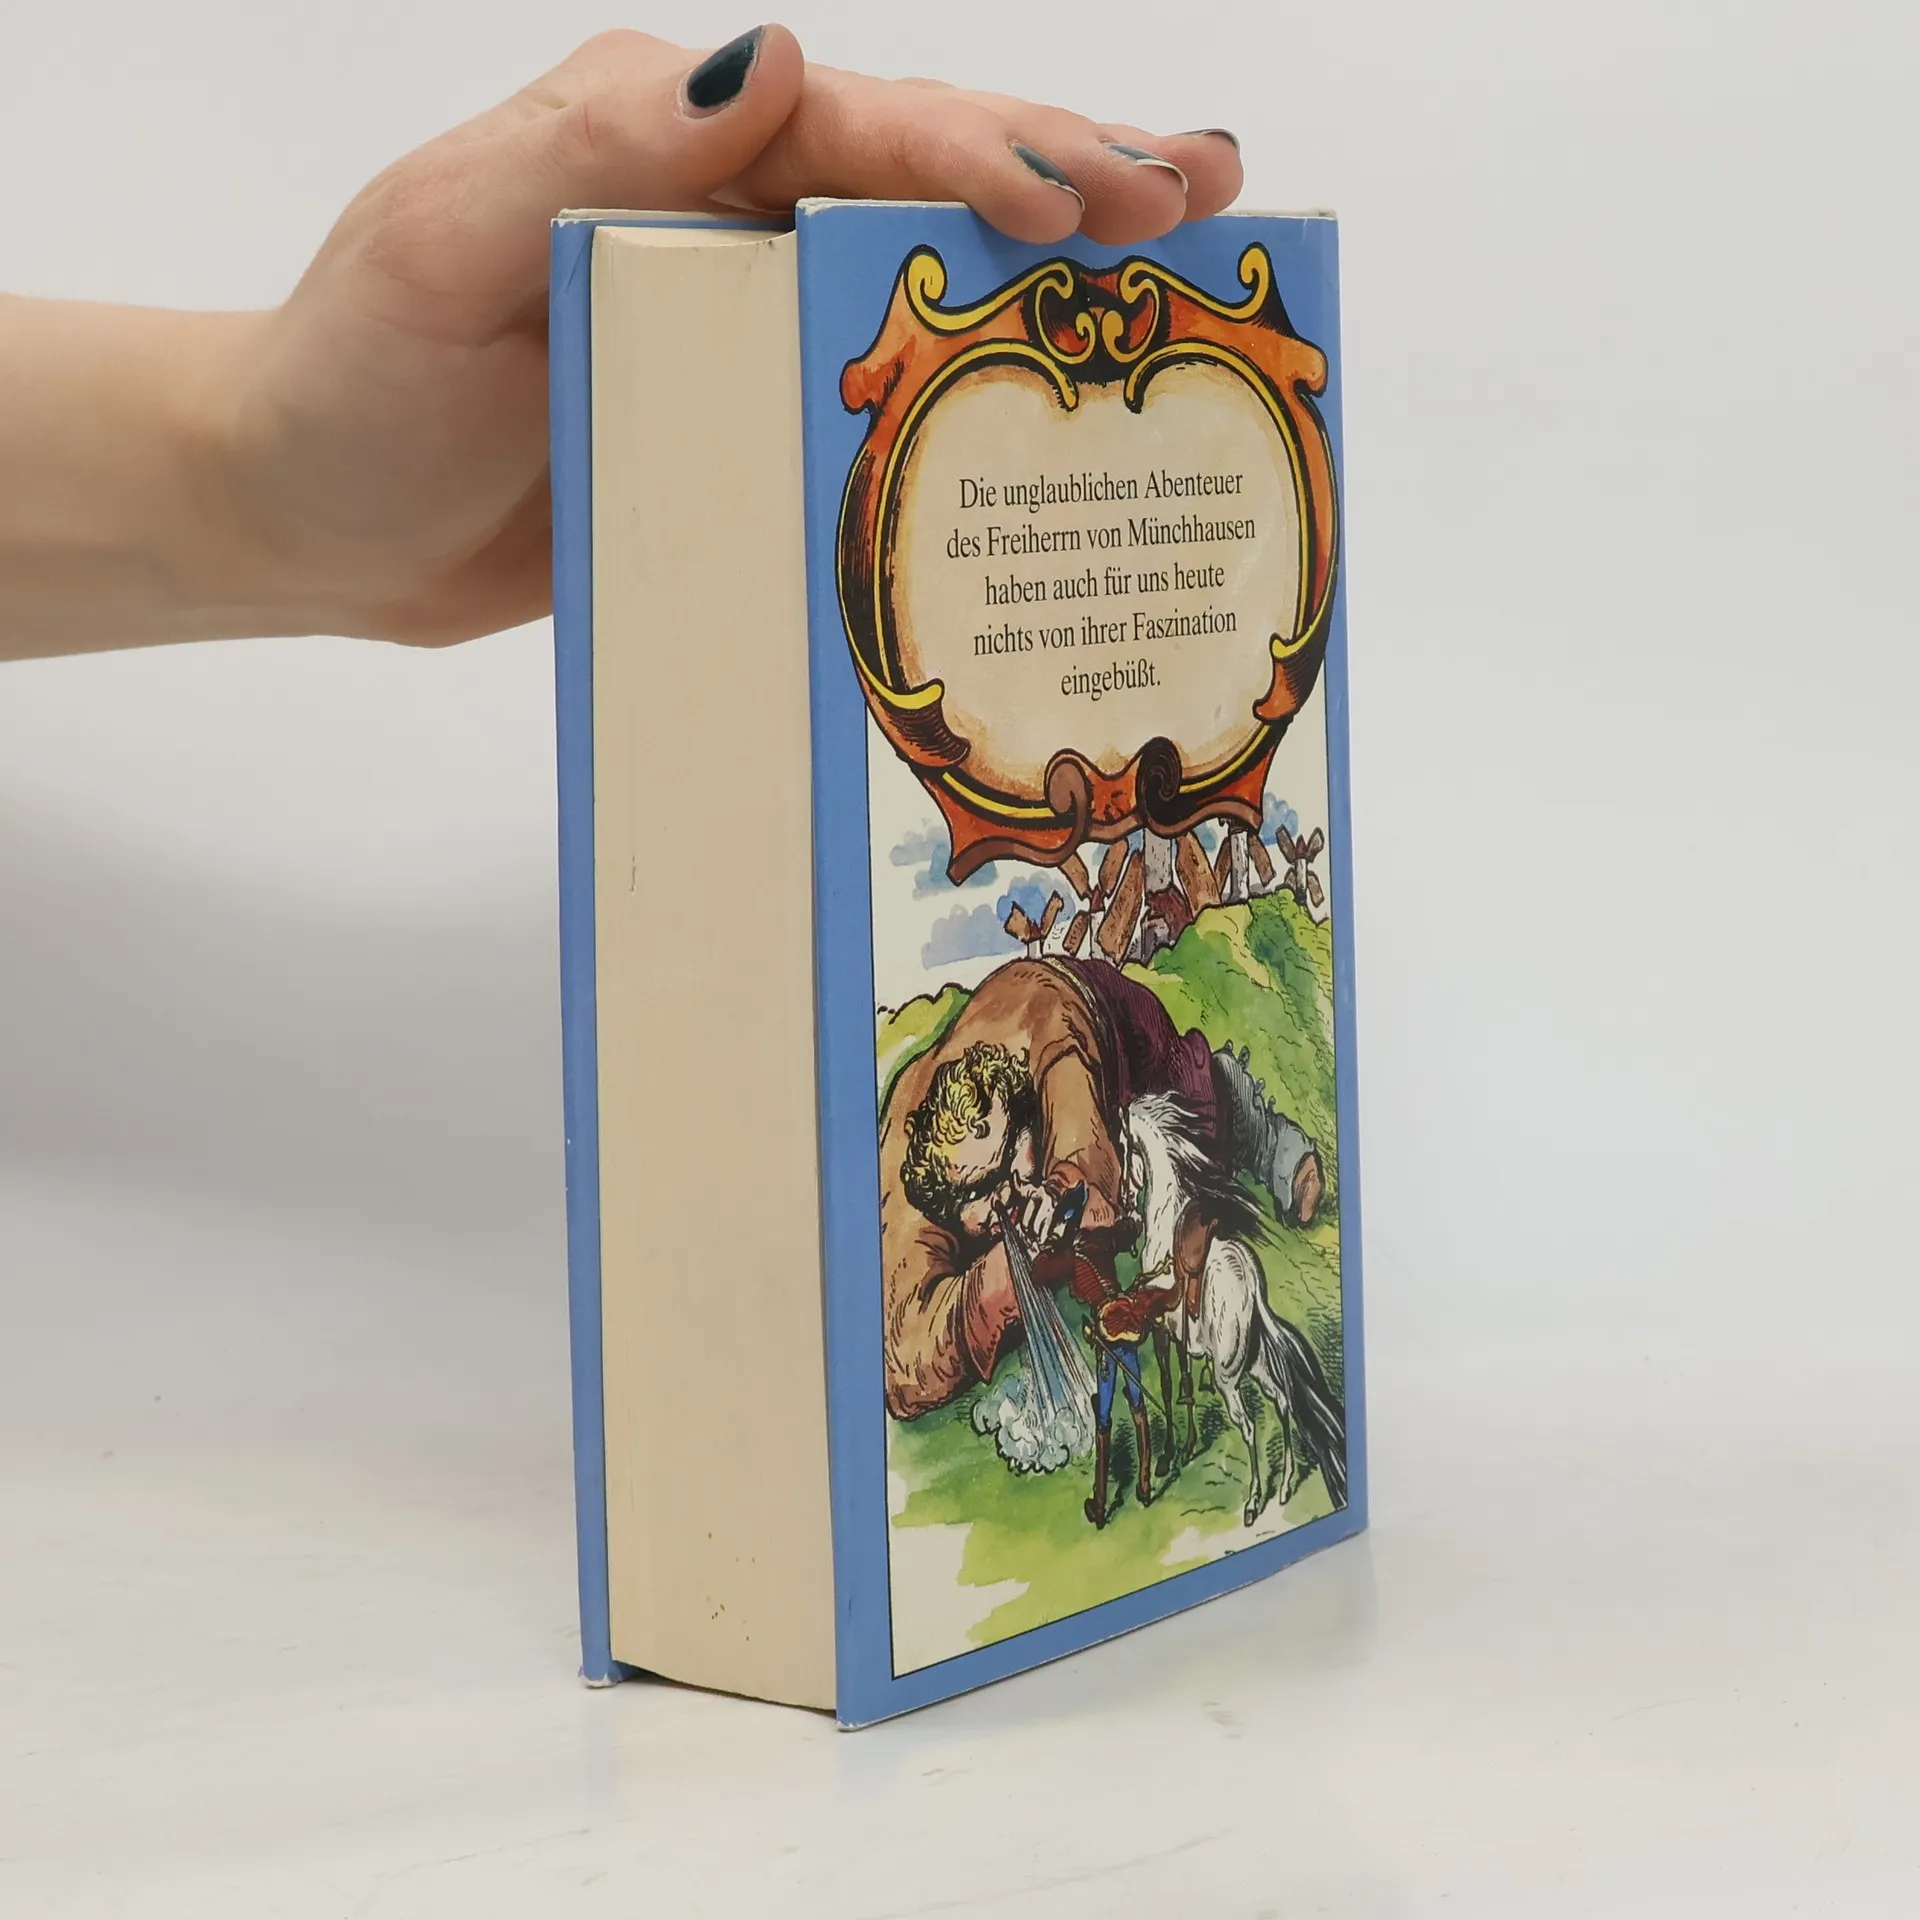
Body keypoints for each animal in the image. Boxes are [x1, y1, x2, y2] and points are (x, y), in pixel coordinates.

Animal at [1118, 1093, 1349, 1525]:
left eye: (1123, 1147)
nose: (1124, 1204)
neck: (1166, 1225)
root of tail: (1253, 1287)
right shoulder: (1181, 1336)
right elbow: (1185, 1385)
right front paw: (1187, 1445)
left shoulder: (1160, 1329)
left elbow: (1171, 1385)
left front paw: (1168, 1456)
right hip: (1255, 1365)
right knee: (1283, 1403)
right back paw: (1285, 1485)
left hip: (1230, 1379)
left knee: (1251, 1428)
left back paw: (1255, 1501)